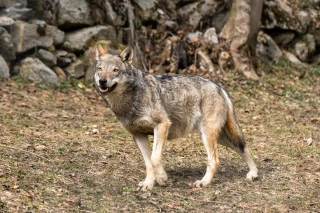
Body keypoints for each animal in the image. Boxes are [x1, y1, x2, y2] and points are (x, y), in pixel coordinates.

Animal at [94, 44, 258, 191]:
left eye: (115, 70)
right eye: (100, 69)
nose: (102, 81)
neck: (130, 101)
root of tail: (217, 84)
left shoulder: (162, 125)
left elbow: (154, 158)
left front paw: (161, 178)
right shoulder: (138, 135)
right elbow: (148, 163)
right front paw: (148, 184)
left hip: (209, 135)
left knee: (216, 160)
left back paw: (204, 182)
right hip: (218, 137)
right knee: (243, 147)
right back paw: (253, 173)